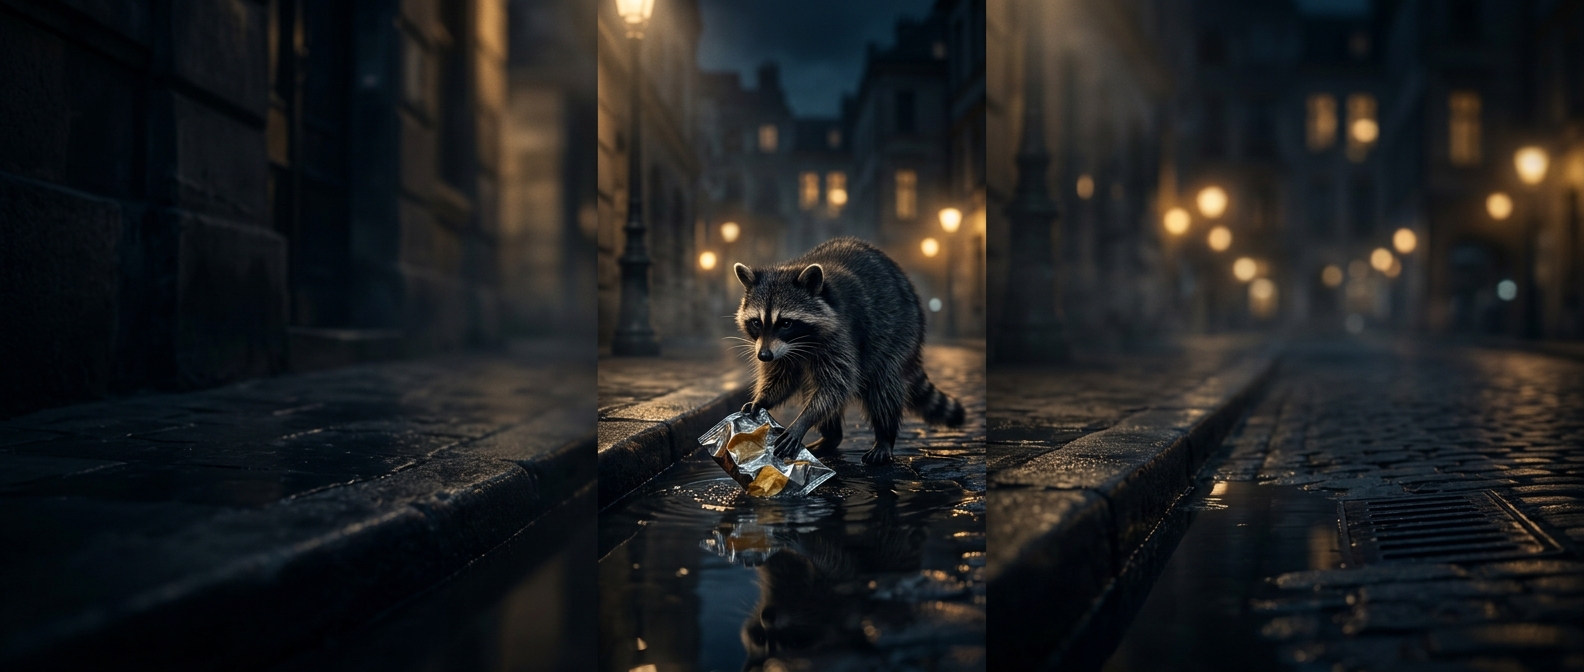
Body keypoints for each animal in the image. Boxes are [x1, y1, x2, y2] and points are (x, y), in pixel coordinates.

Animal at [732, 237, 965, 466]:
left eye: (786, 323)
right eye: (756, 322)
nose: (763, 356)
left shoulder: (840, 334)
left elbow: (837, 385)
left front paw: (804, 419)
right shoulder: (778, 350)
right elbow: (782, 377)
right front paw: (763, 399)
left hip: (900, 331)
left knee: (883, 387)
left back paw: (884, 436)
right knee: (813, 385)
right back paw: (831, 435)